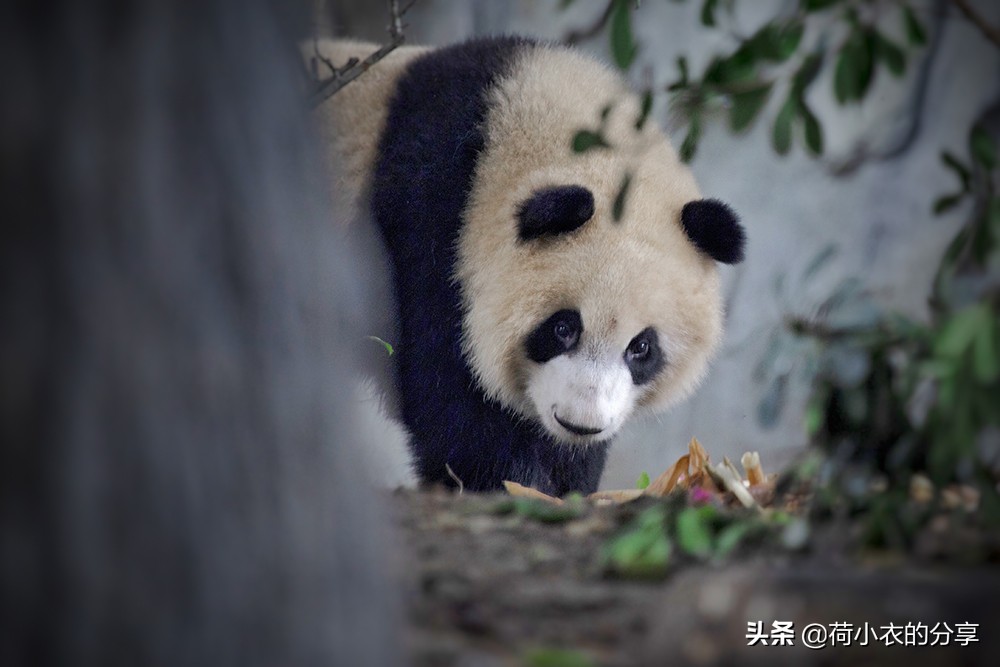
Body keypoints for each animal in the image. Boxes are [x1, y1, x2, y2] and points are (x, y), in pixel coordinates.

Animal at [312, 35, 744, 496]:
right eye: (563, 328)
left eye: (642, 347)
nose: (580, 424)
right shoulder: (427, 230)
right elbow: (452, 397)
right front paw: (506, 483)